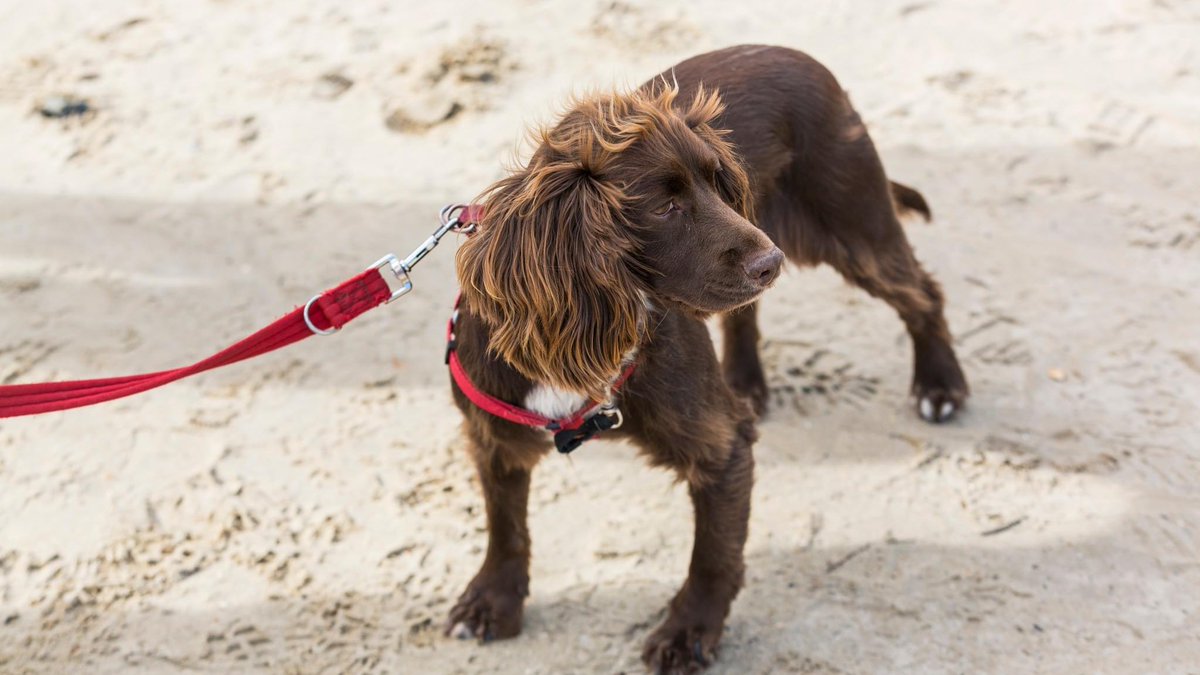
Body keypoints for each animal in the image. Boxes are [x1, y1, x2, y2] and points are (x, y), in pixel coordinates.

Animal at [446, 44, 969, 667]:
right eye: (664, 207)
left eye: (719, 184)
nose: (770, 262)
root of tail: (799, 55)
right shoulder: (494, 439)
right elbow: (505, 528)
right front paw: (492, 600)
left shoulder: (722, 447)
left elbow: (714, 556)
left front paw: (688, 632)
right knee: (747, 311)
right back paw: (746, 380)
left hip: (853, 224)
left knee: (923, 294)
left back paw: (940, 384)